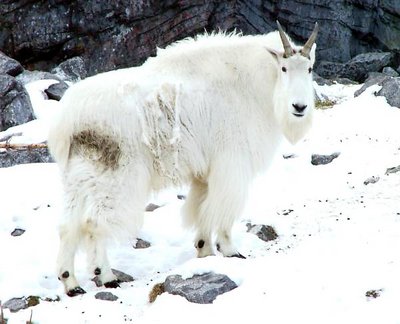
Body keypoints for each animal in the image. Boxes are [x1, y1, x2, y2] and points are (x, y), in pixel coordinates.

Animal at [47, 20, 318, 296]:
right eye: (284, 68)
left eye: (309, 69)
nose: (299, 107)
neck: (251, 84)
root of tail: (67, 121)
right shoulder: (231, 162)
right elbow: (223, 208)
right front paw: (231, 251)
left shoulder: (204, 172)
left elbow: (202, 208)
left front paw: (204, 249)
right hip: (118, 177)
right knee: (94, 223)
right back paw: (106, 275)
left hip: (79, 174)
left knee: (68, 225)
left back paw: (70, 282)